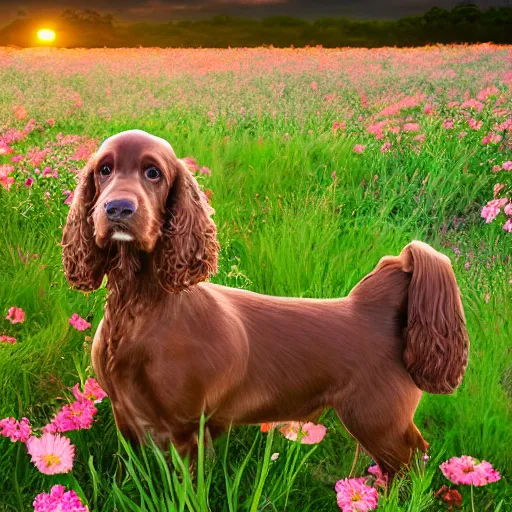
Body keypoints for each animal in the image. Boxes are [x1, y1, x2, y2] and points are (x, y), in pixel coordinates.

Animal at [62, 129, 470, 476]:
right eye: (104, 169)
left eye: (153, 173)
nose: (117, 208)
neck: (140, 309)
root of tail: (375, 308)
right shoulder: (127, 417)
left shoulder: (186, 429)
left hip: (377, 420)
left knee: (411, 465)